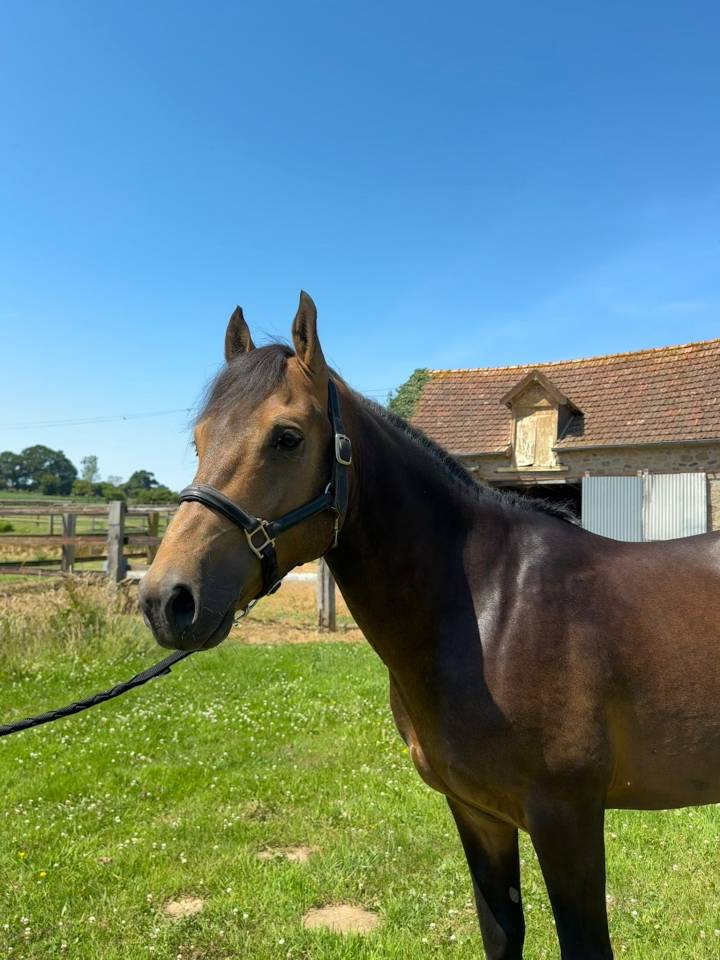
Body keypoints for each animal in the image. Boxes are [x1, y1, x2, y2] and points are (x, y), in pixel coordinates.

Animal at [140, 292, 720, 959]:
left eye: (286, 438)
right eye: (199, 440)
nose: (167, 600)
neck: (494, 613)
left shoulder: (567, 819)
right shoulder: (478, 814)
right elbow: (502, 933)